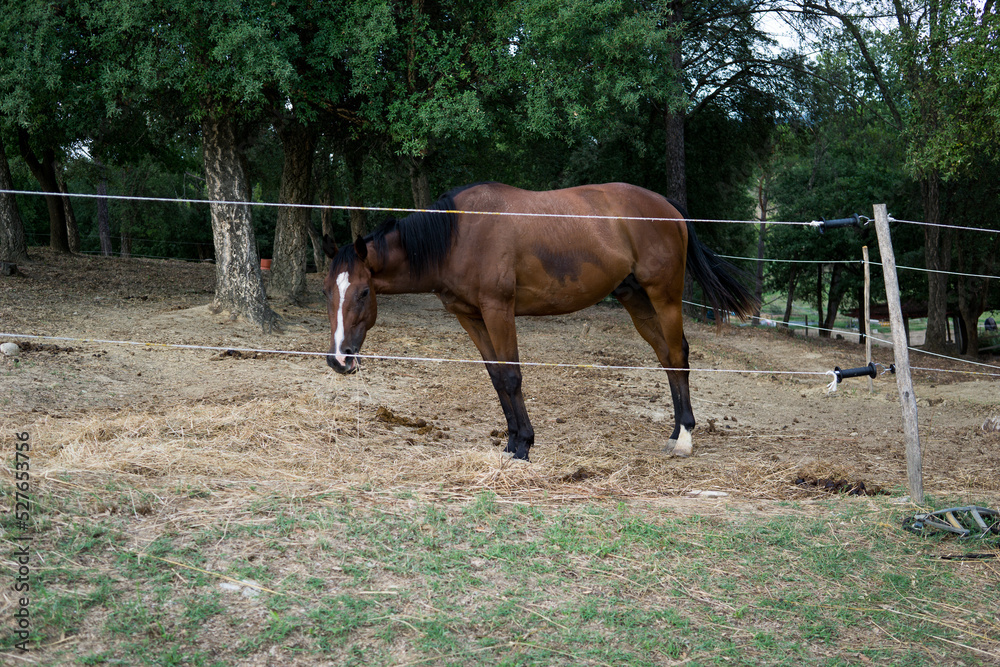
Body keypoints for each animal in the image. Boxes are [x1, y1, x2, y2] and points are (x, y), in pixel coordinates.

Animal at [321, 182, 758, 461]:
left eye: (363, 292)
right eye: (329, 291)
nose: (339, 359)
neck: (458, 235)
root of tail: (667, 208)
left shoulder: (499, 310)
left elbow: (513, 375)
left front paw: (524, 447)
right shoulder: (471, 317)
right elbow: (497, 376)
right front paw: (511, 442)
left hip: (663, 296)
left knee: (679, 355)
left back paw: (684, 439)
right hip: (636, 299)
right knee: (667, 358)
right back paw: (673, 433)